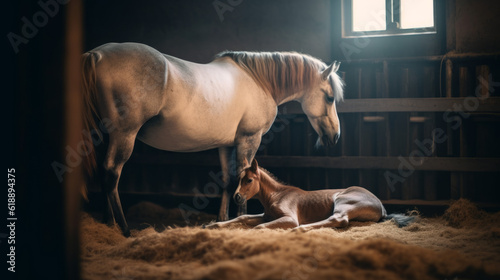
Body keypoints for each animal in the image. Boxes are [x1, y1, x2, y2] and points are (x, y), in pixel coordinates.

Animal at [81, 41, 344, 235]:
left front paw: (222, 220)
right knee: (112, 173)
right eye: (330, 97)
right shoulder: (249, 139)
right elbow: (243, 175)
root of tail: (97, 54)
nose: (335, 136)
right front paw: (240, 218)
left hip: (107, 136)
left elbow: (229, 181)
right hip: (125, 134)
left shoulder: (226, 145)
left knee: (103, 172)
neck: (259, 81)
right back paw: (124, 229)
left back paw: (108, 223)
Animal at [206, 159, 410, 231]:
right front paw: (212, 225)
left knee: (338, 219)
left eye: (249, 180)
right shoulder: (266, 215)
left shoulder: (289, 218)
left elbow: (258, 227)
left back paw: (300, 229)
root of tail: (382, 206)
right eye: (239, 179)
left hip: (342, 201)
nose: (237, 197)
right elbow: (244, 218)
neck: (277, 195)